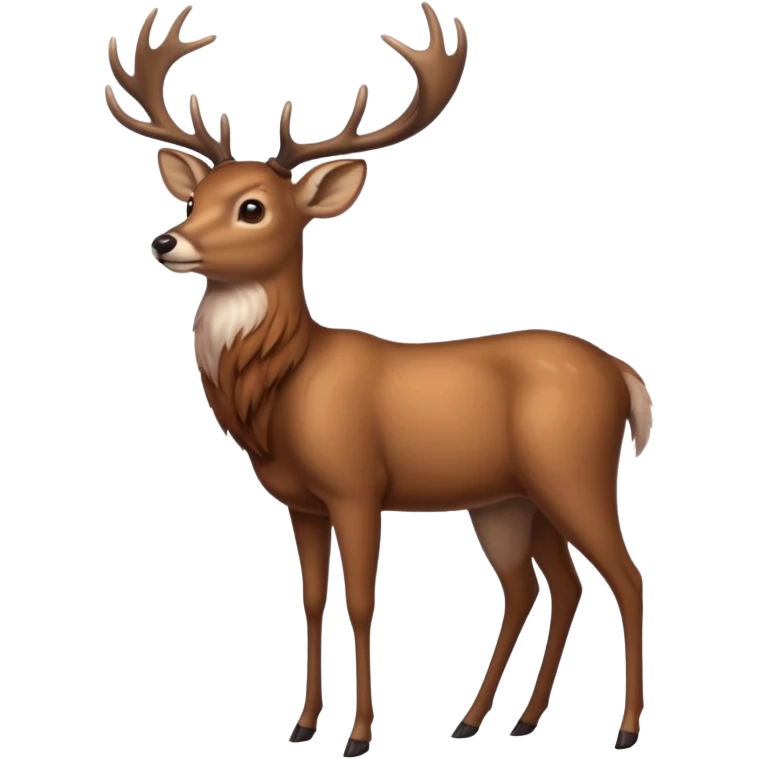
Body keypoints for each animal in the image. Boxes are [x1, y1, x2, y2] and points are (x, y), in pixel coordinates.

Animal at [105, 3, 652, 755]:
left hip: (574, 468)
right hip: (508, 499)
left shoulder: (356, 484)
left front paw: (359, 733)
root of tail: (625, 374)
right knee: (545, 585)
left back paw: (620, 729)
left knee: (624, 575)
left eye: (253, 207)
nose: (165, 240)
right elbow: (311, 600)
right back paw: (493, 720)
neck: (283, 392)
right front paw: (304, 722)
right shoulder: (301, 502)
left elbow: (363, 601)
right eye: (196, 196)